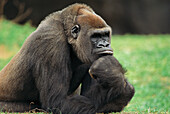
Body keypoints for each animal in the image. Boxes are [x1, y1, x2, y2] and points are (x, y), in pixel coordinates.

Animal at [0, 3, 135, 113]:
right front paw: (122, 90)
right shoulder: (51, 41)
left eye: (106, 35)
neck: (67, 33)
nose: (105, 45)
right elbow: (57, 102)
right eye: (95, 36)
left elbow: (90, 96)